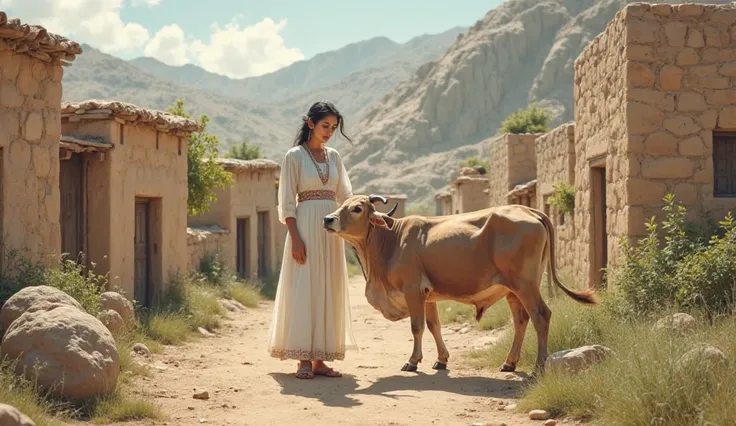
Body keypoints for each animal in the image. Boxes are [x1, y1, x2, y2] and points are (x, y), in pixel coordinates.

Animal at [322, 195, 600, 374]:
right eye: (342, 205)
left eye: (357, 208)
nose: (328, 219)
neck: (392, 239)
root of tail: (529, 210)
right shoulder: (428, 295)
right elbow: (434, 326)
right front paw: (441, 359)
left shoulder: (413, 290)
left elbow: (416, 327)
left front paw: (413, 361)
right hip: (512, 290)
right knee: (521, 320)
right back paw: (509, 363)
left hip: (526, 285)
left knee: (541, 316)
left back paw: (539, 367)